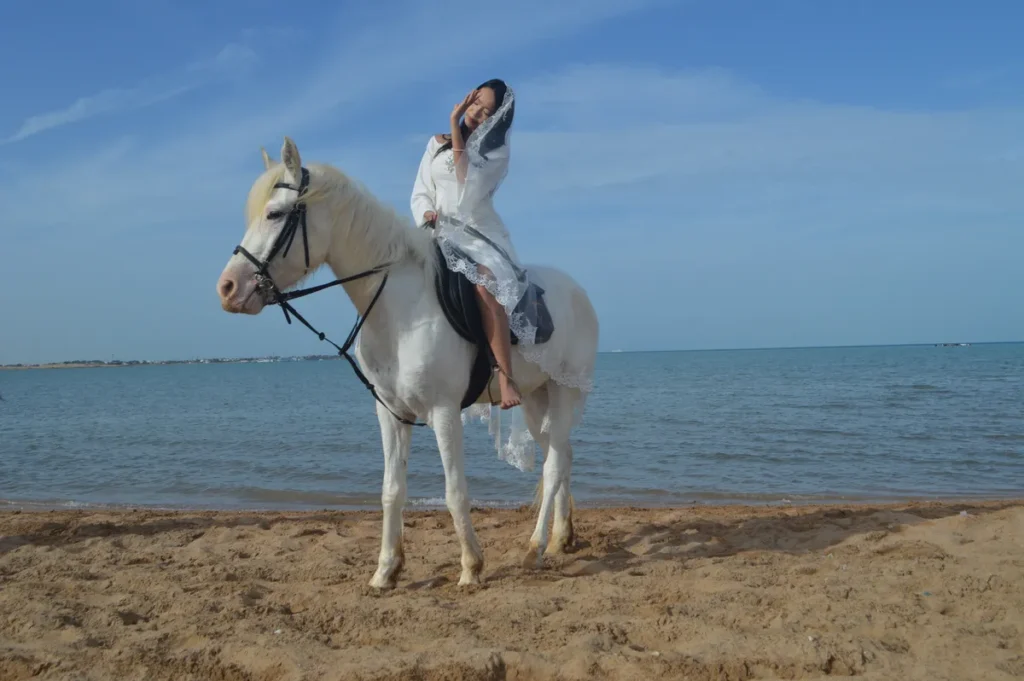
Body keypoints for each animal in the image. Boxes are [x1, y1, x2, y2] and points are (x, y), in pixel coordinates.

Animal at [216, 137, 599, 588]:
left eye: (274, 213)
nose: (227, 288)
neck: (400, 309)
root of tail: (578, 292)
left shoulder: (444, 411)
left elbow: (454, 491)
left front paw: (471, 566)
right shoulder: (391, 412)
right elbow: (391, 490)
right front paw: (386, 570)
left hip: (565, 390)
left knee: (554, 466)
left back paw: (534, 548)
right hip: (537, 398)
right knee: (560, 458)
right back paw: (559, 539)